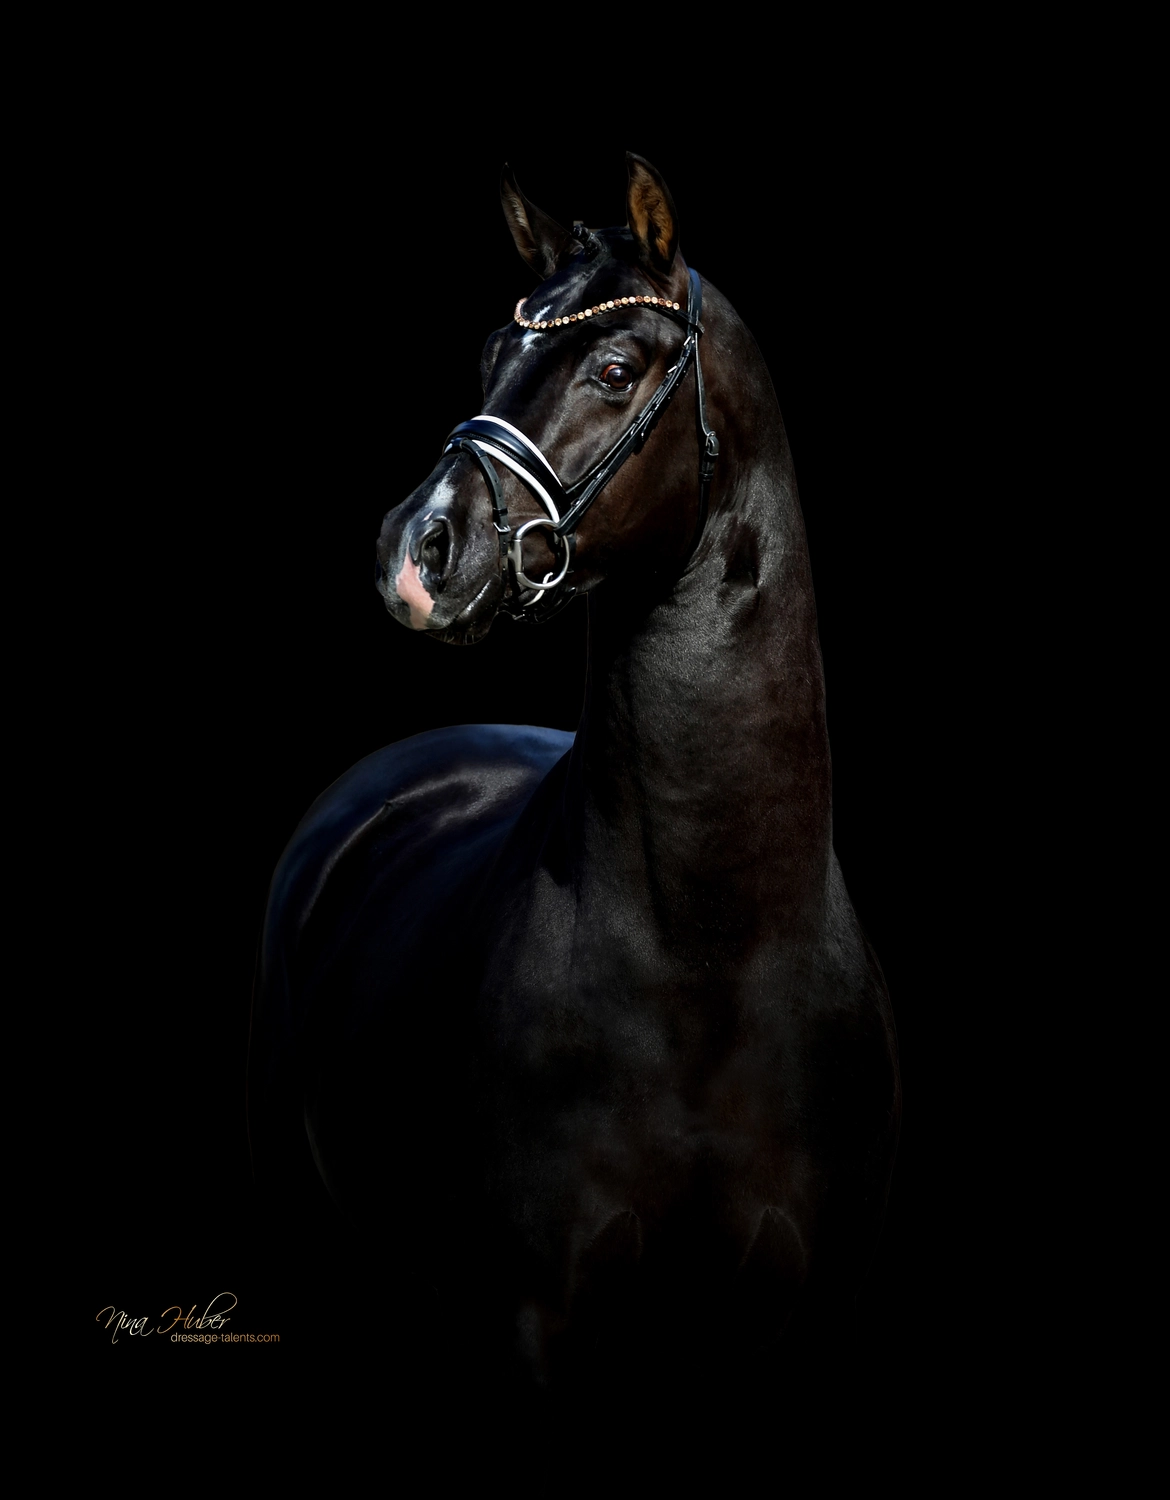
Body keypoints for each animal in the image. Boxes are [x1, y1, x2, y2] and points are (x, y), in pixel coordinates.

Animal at [248, 153, 901, 1392]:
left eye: (612, 367)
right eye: (489, 356)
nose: (416, 552)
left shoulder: (779, 1313)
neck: (712, 959)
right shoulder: (537, 1316)